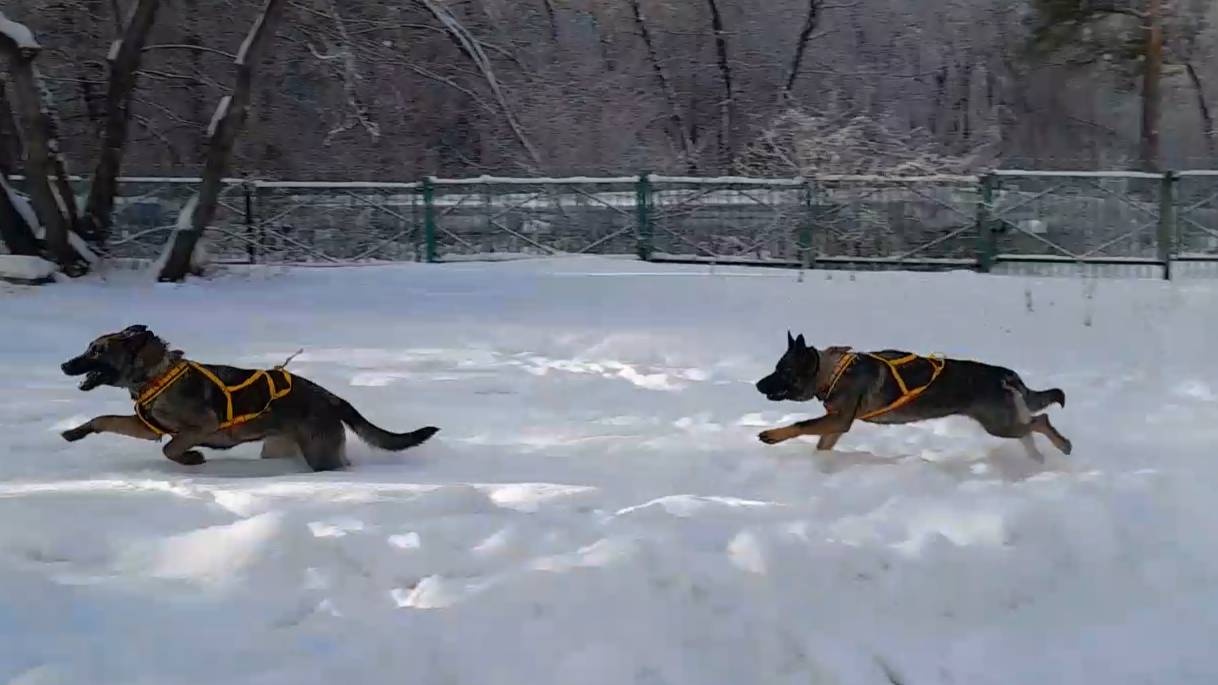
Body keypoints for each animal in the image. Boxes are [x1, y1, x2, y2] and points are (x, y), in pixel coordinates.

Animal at [58, 324, 438, 468]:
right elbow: (103, 419)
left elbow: (171, 448)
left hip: (320, 455)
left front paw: (192, 458)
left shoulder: (201, 426)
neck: (155, 375)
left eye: (96, 351)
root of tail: (332, 398)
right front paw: (75, 432)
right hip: (278, 448)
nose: (63, 364)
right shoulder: (144, 428)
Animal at [755, 331, 1071, 458]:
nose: (758, 385)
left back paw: (1063, 445)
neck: (830, 372)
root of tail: (1003, 374)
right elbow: (821, 444)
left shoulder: (839, 421)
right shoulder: (835, 425)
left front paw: (772, 435)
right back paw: (1037, 459)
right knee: (1030, 428)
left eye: (783, 371)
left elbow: (800, 425)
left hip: (999, 425)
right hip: (1006, 422)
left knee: (1041, 421)